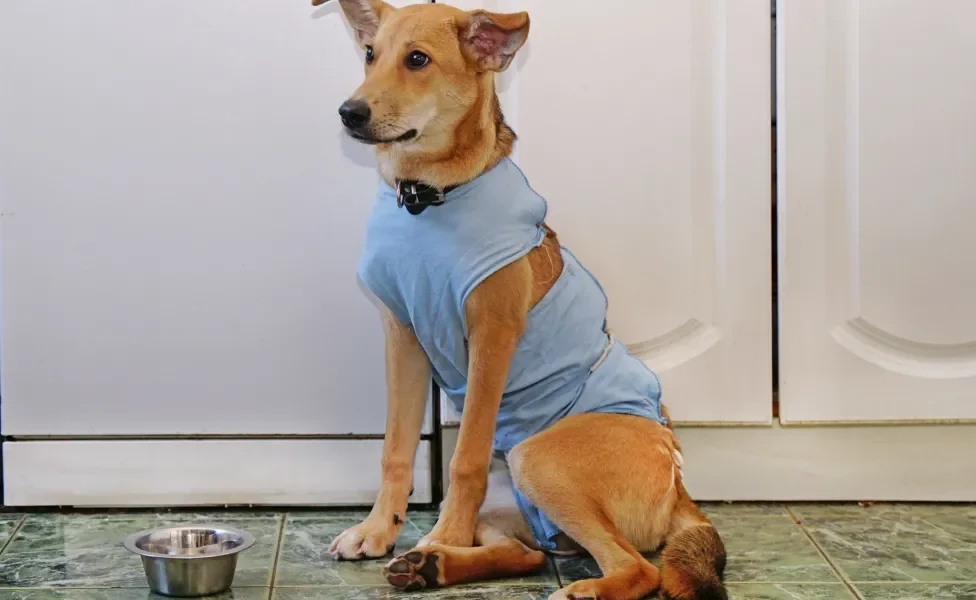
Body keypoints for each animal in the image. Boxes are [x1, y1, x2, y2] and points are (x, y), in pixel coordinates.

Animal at [316, 1, 728, 600]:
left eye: (418, 59)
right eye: (370, 54)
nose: (350, 113)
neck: (430, 198)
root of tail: (678, 482)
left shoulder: (493, 334)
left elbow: (463, 457)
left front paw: (443, 532)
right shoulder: (403, 336)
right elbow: (395, 447)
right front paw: (377, 530)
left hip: (538, 458)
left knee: (640, 568)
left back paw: (555, 581)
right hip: (510, 498)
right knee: (527, 555)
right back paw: (431, 564)